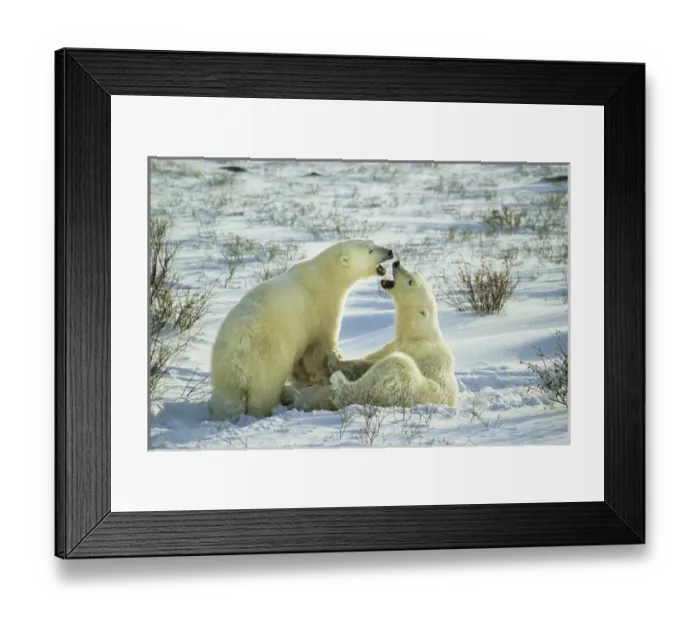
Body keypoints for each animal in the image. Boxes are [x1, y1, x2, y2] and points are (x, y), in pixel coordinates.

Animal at [208, 239, 394, 419]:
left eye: (373, 243)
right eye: (370, 250)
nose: (390, 251)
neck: (326, 275)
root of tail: (240, 351)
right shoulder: (322, 308)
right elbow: (319, 348)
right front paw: (324, 371)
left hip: (224, 367)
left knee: (228, 397)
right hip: (266, 360)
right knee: (264, 392)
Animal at [289, 260, 459, 411]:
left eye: (410, 281)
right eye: (413, 273)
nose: (396, 263)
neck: (418, 333)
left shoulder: (420, 352)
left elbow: (373, 363)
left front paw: (333, 357)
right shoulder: (394, 344)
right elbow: (371, 358)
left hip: (409, 389)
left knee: (395, 368)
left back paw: (336, 381)